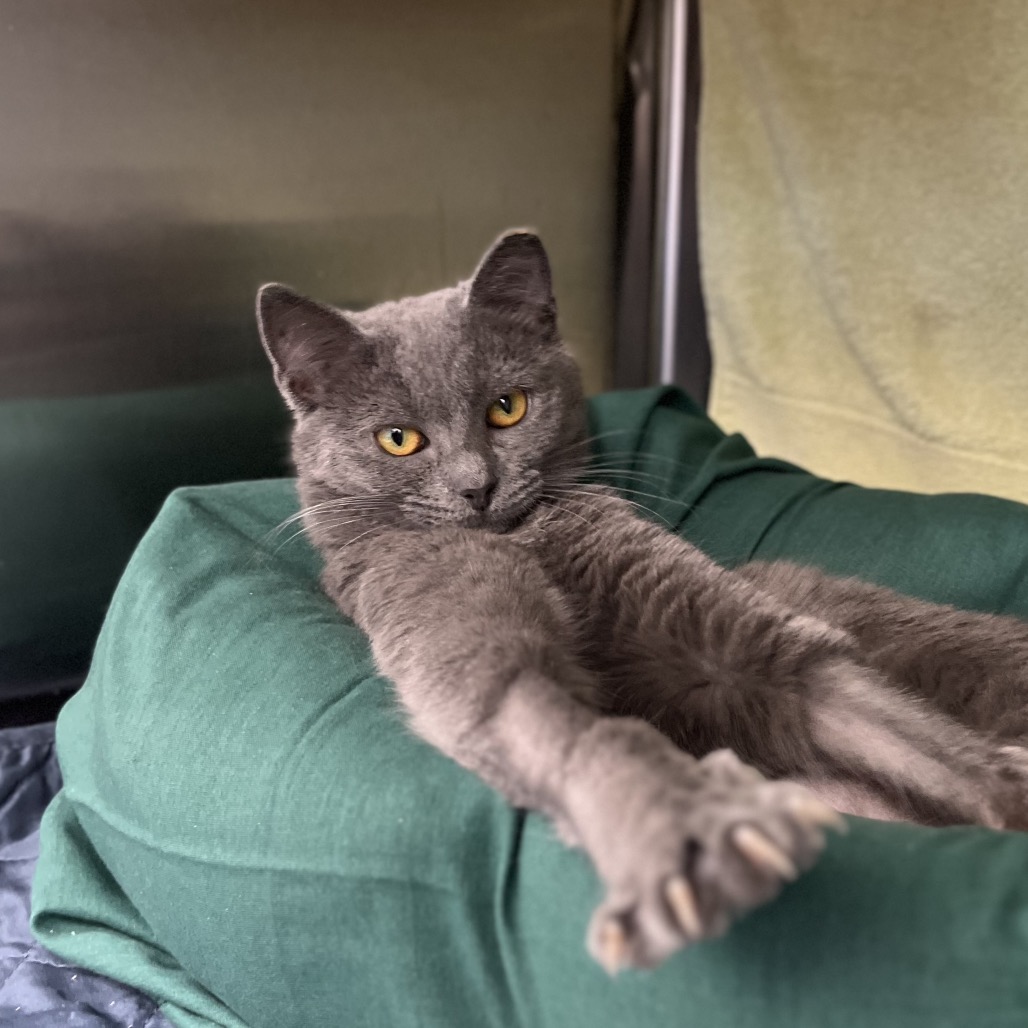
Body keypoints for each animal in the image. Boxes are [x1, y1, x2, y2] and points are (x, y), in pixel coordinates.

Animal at [256, 230, 1028, 973]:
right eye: (399, 439)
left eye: (507, 408)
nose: (477, 487)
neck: (534, 545)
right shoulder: (451, 621)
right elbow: (552, 715)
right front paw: (689, 839)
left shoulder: (732, 631)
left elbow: (859, 708)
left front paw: (1005, 790)